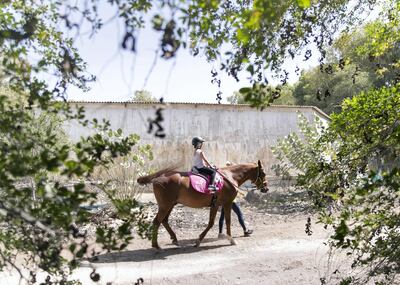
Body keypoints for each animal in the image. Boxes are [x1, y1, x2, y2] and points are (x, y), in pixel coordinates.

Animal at [137, 160, 268, 248]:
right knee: (157, 221)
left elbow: (211, 223)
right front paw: (231, 240)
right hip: (165, 206)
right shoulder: (227, 203)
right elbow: (227, 221)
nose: (266, 189)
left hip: (170, 205)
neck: (230, 177)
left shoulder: (216, 204)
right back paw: (156, 245)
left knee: (164, 221)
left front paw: (199, 240)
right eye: (263, 173)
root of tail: (159, 177)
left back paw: (174, 239)